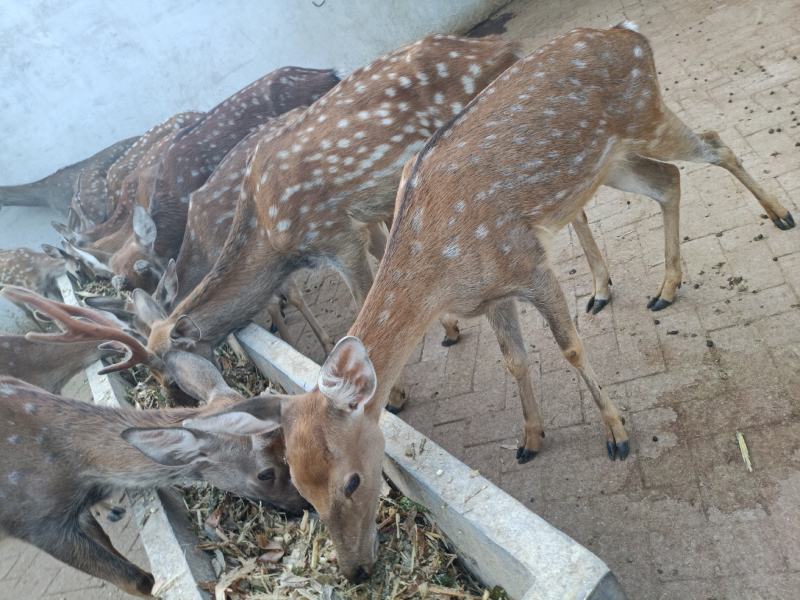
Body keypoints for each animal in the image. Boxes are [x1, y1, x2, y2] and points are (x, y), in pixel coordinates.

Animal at [175, 23, 800, 582]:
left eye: (350, 479)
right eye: (299, 485)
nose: (354, 571)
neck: (443, 268)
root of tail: (630, 34)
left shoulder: (526, 262)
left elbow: (569, 348)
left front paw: (618, 435)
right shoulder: (495, 292)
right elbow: (513, 360)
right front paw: (530, 439)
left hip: (645, 115)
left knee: (714, 142)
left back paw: (778, 215)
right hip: (612, 161)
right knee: (669, 180)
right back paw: (666, 288)